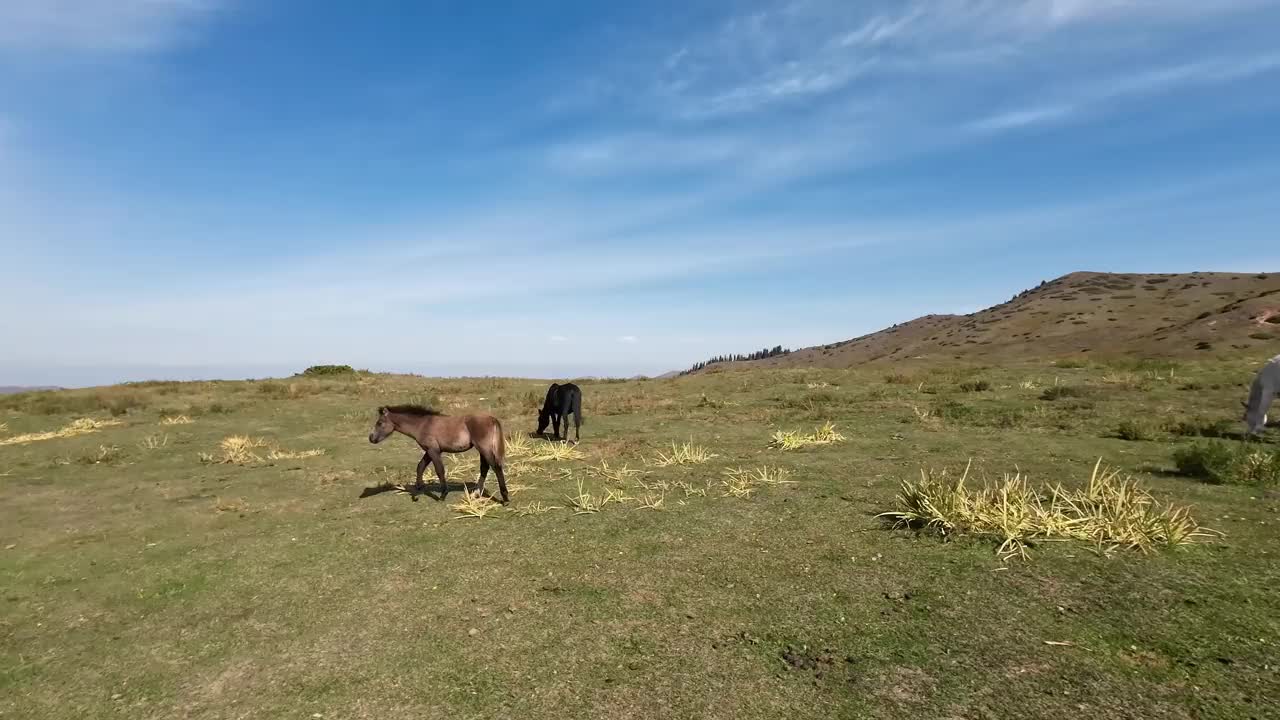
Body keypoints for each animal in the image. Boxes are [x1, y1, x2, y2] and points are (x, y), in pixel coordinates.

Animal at [368, 399, 506, 502]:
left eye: (380, 423)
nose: (371, 438)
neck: (423, 424)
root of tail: (492, 419)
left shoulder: (433, 451)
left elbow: (439, 470)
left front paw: (443, 495)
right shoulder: (429, 450)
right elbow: (420, 466)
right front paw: (418, 488)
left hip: (484, 448)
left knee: (496, 467)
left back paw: (505, 498)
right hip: (482, 450)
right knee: (485, 468)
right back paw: (476, 493)